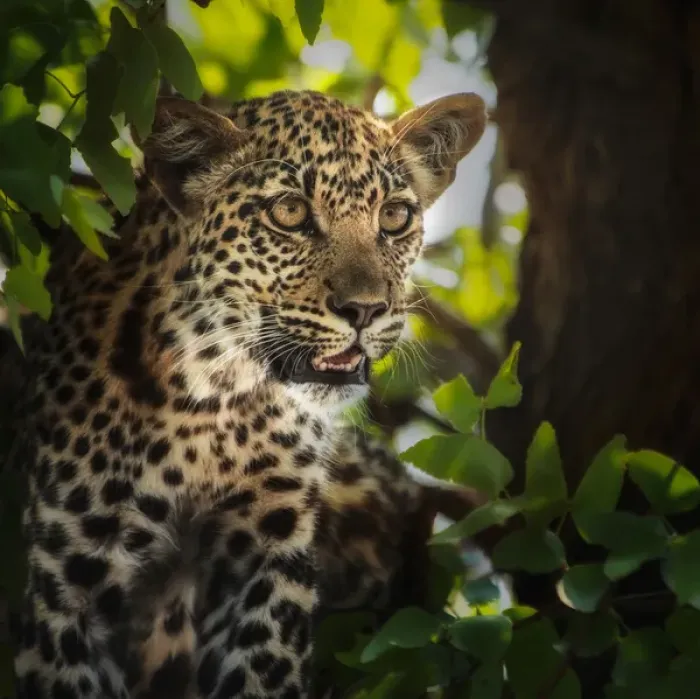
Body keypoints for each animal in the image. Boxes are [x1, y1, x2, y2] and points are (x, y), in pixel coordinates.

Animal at [9, 88, 486, 699]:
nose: (365, 310)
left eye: (394, 217)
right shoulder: (68, 580)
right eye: (290, 212)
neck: (213, 402)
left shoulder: (268, 556)